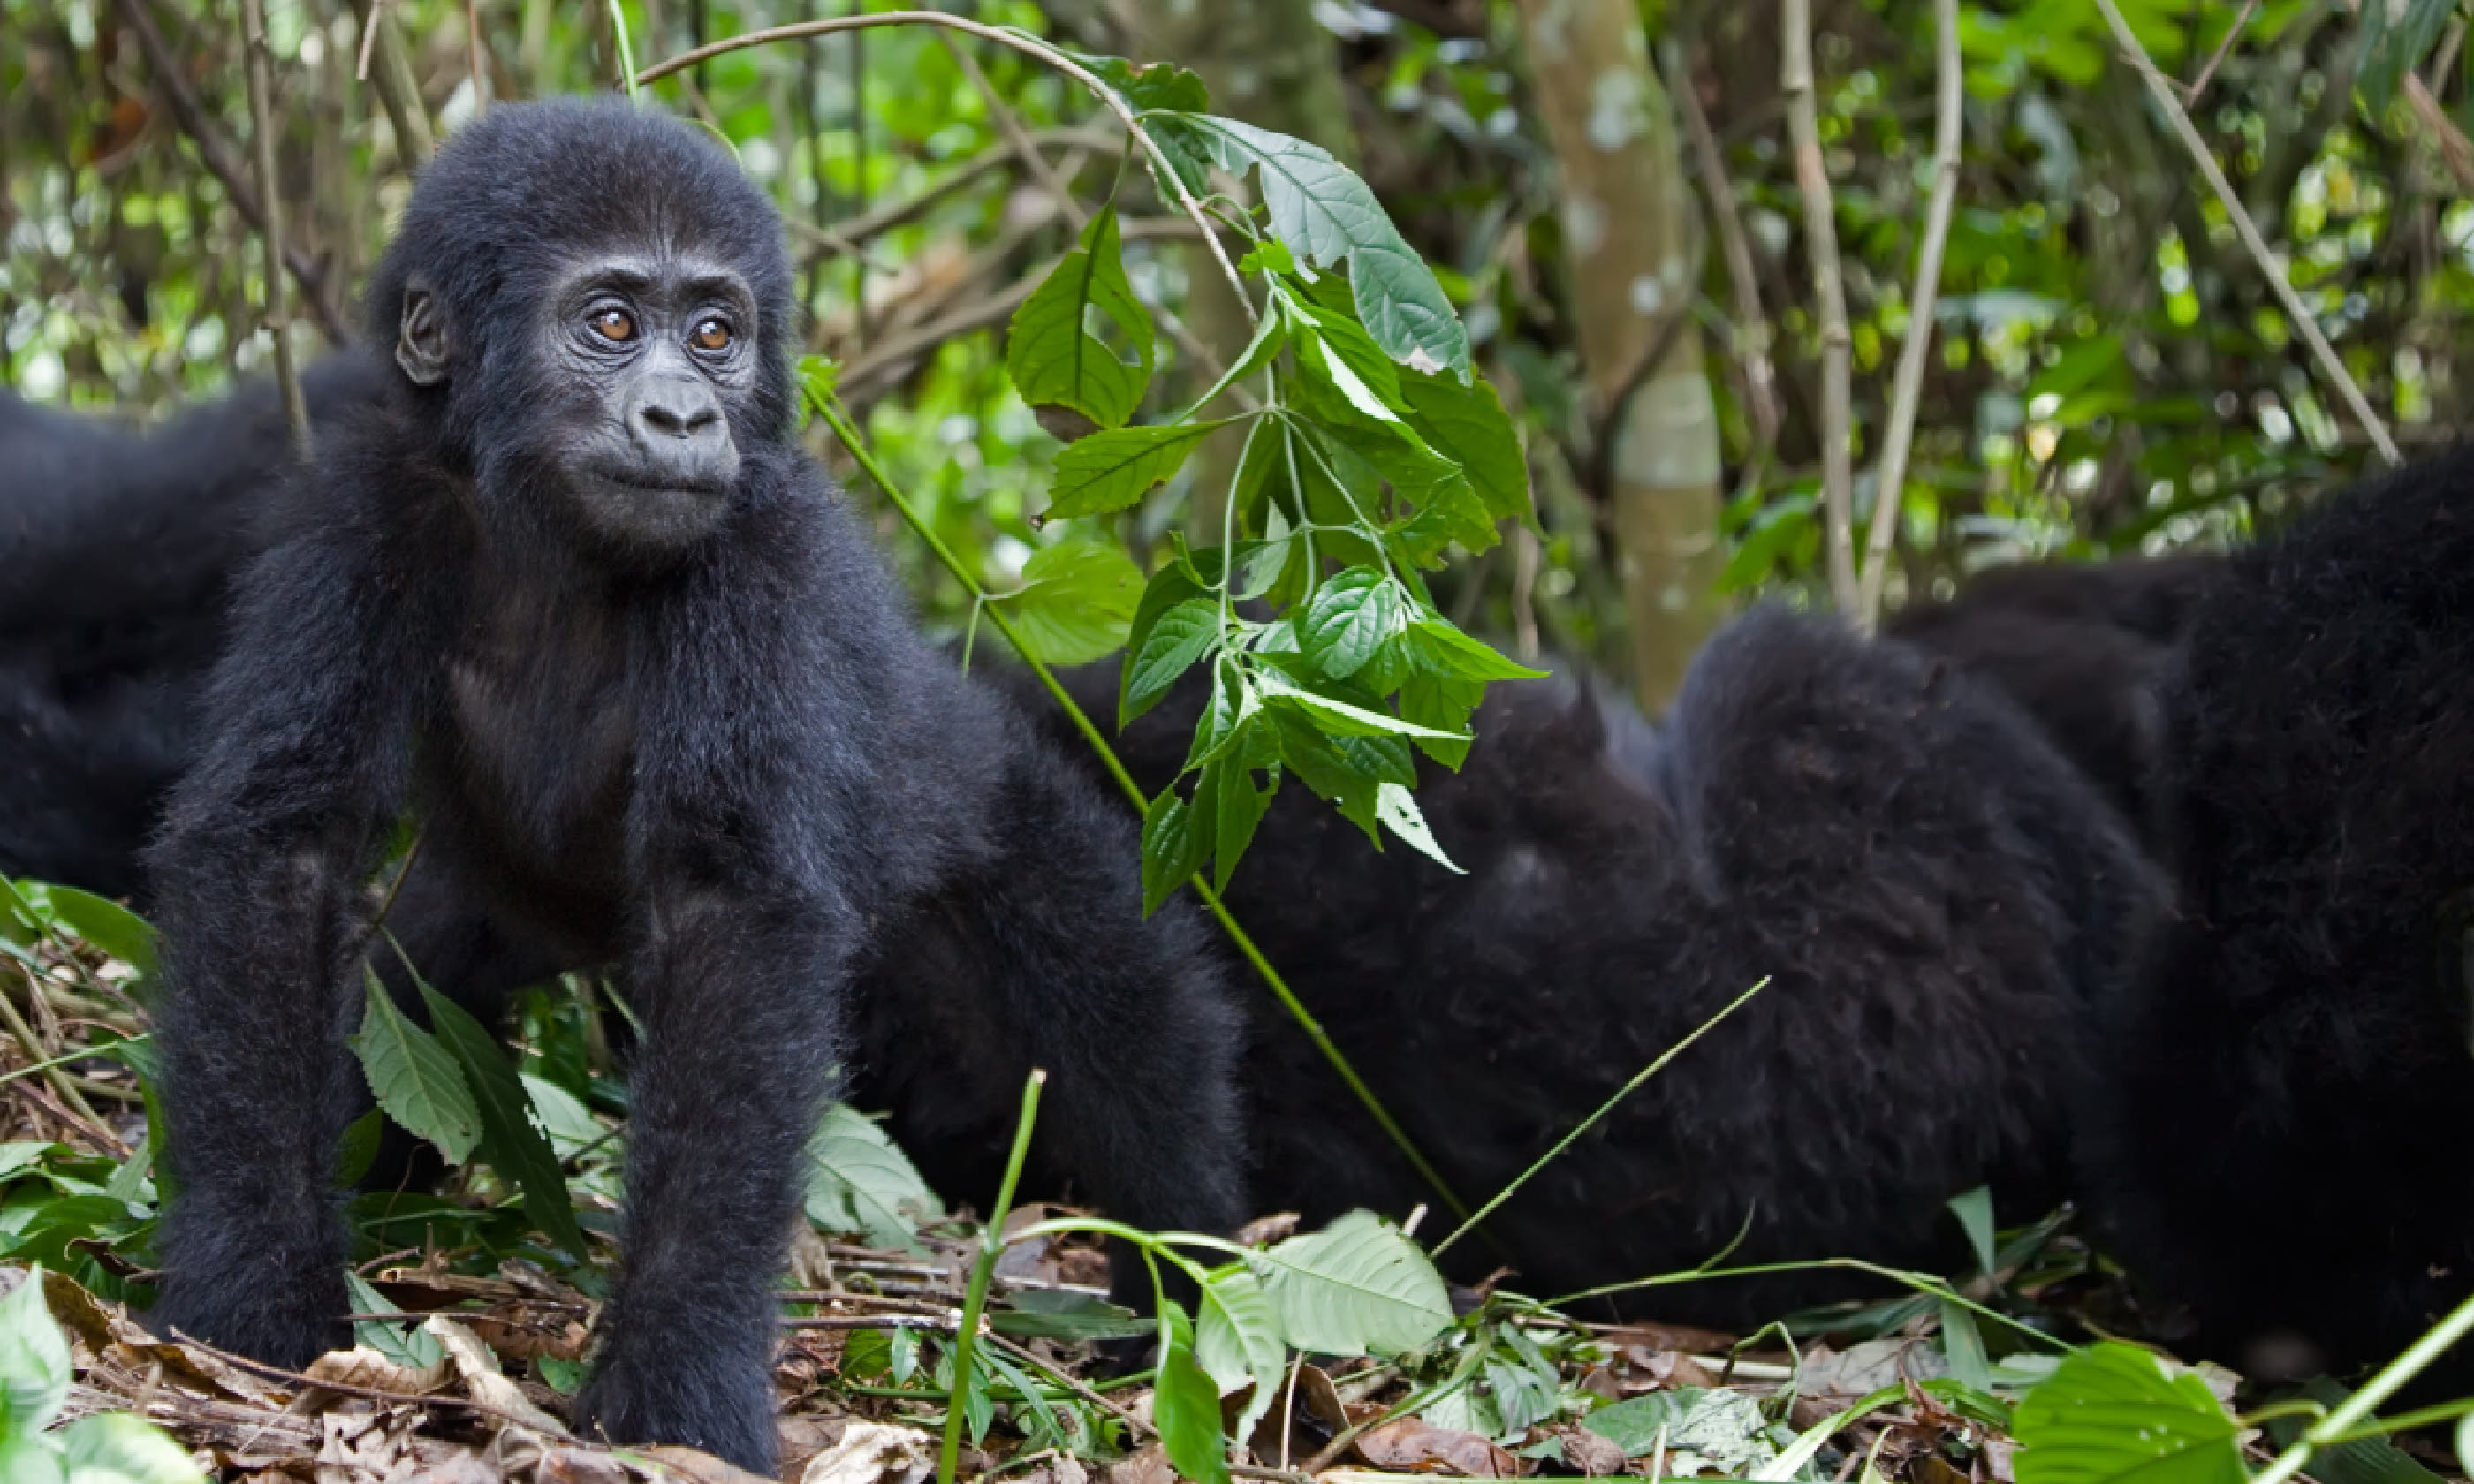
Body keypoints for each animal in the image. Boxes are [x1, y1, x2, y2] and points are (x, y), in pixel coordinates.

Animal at [144, 104, 1247, 1473]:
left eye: (716, 336)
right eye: (614, 323)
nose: (681, 419)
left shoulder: (759, 557)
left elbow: (734, 920)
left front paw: (677, 1384)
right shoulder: (369, 508)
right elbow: (279, 848)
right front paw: (253, 1289)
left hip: (996, 814)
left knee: (1133, 1024)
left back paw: (1181, 1294)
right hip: (492, 923)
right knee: (409, 996)